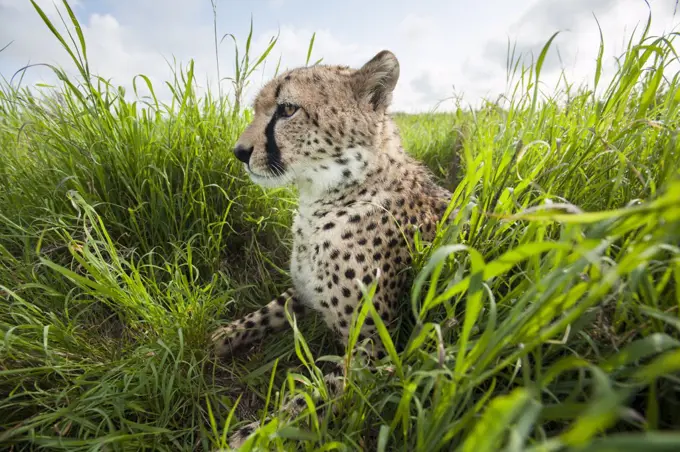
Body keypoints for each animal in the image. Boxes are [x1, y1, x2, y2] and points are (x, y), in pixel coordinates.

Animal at [211, 50, 456, 448]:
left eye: (287, 109)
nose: (239, 152)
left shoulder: (373, 346)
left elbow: (309, 398)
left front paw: (255, 433)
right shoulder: (303, 291)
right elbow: (269, 310)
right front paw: (224, 336)